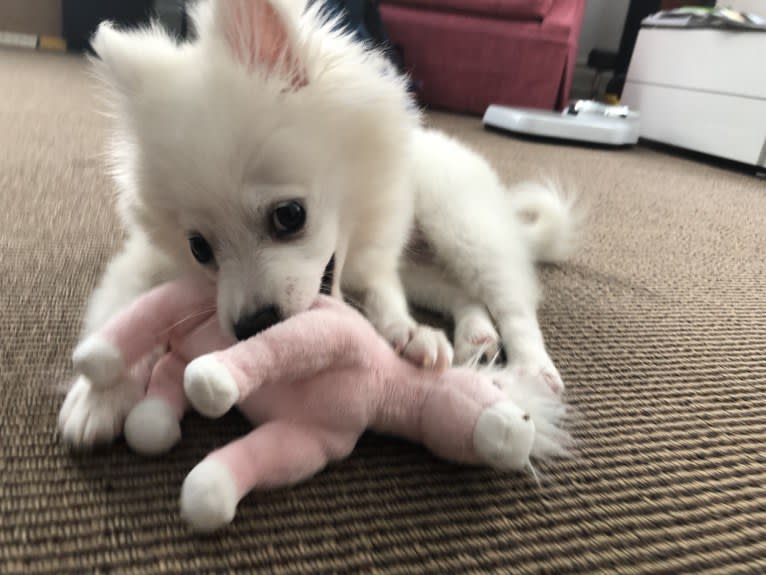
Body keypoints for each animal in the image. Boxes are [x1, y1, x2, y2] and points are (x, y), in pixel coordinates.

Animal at [60, 0, 576, 448]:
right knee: (459, 292)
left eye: (289, 216)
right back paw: (476, 334)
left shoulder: (375, 258)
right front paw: (96, 399)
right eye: (199, 249)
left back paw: (532, 368)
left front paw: (407, 334)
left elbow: (384, 298)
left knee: (512, 302)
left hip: (462, 227)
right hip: (425, 264)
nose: (254, 326)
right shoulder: (141, 265)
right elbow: (119, 313)